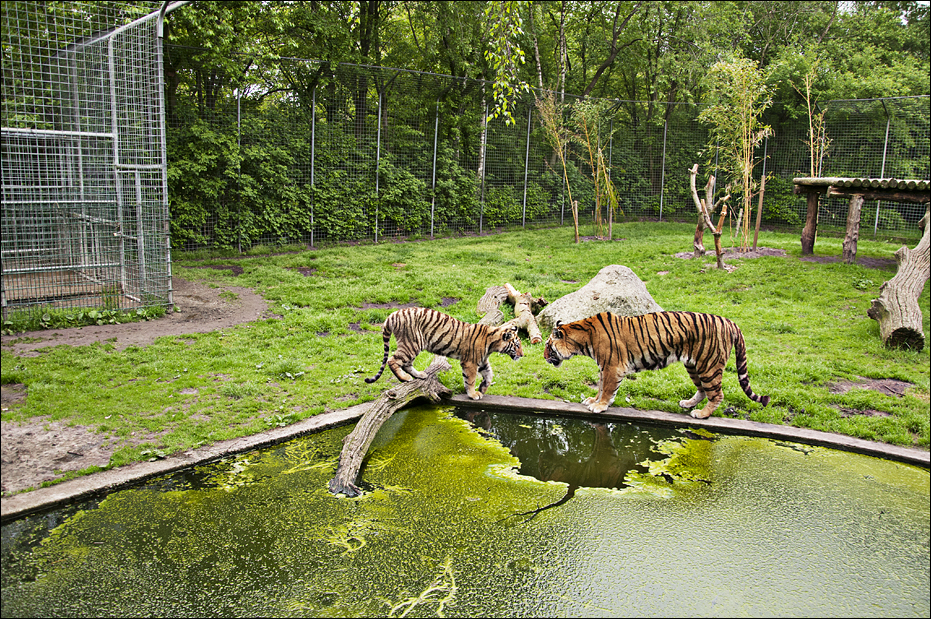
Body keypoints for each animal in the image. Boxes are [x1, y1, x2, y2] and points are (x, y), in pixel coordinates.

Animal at [365, 307, 523, 399]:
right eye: (517, 345)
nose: (522, 355)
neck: (492, 344)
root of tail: (393, 314)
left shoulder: (483, 361)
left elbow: (489, 375)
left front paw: (482, 388)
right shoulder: (470, 362)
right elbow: (470, 380)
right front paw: (473, 394)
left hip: (413, 345)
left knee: (406, 363)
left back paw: (420, 375)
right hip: (412, 343)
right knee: (393, 360)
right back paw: (405, 378)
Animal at [543, 311, 770, 419]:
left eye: (548, 345)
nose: (544, 356)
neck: (583, 340)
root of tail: (731, 322)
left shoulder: (612, 367)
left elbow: (607, 389)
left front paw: (599, 406)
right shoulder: (604, 366)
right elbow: (600, 387)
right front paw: (593, 400)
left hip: (709, 365)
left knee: (717, 394)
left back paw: (701, 414)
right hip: (694, 365)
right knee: (703, 390)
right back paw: (688, 404)